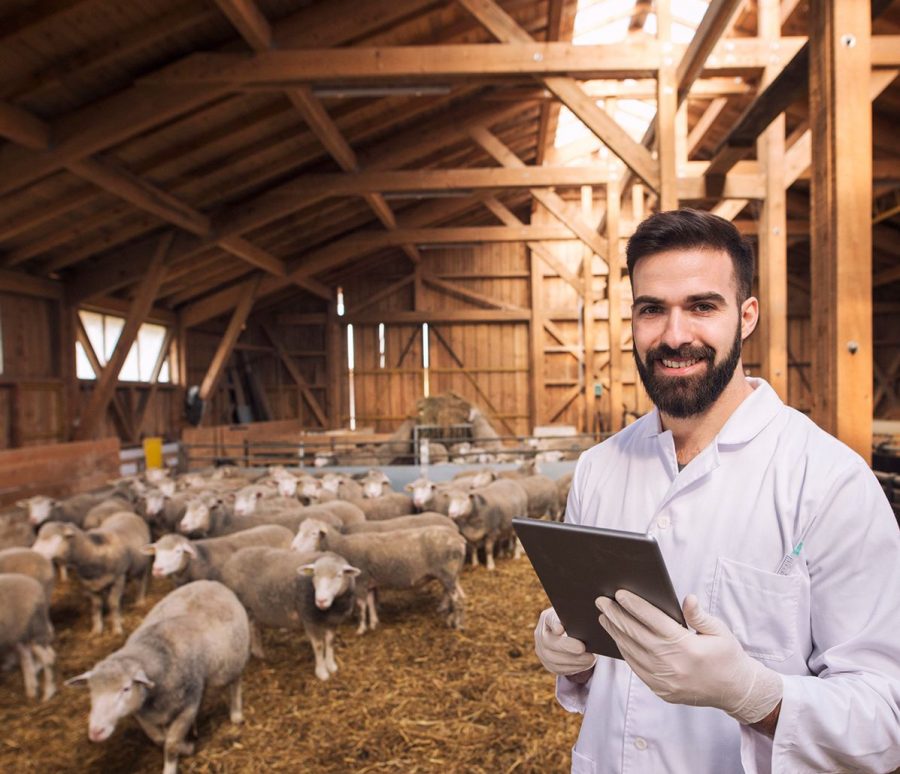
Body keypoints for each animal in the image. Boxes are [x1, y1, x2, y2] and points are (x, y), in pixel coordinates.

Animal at [0, 576, 55, 704]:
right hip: (21, 634)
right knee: (27, 657)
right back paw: (31, 690)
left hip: (33, 630)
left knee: (48, 657)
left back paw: (48, 692)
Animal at [66, 584, 250, 774]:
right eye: (91, 690)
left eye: (126, 688)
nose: (95, 732)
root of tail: (211, 583)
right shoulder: (143, 713)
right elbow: (160, 739)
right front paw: (185, 746)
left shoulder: (187, 708)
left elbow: (171, 743)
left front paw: (179, 756)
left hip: (232, 662)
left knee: (235, 683)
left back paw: (236, 714)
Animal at [220, 544, 356, 680]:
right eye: (315, 575)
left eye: (339, 575)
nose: (321, 600)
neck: (330, 608)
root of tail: (233, 558)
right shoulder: (309, 618)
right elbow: (318, 646)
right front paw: (322, 672)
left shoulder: (334, 621)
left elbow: (330, 642)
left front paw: (331, 665)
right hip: (244, 605)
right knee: (251, 628)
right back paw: (257, 652)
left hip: (254, 608)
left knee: (254, 626)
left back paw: (258, 651)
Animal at [294, 520, 468, 636]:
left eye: (313, 534)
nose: (294, 548)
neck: (342, 546)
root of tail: (458, 538)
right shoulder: (370, 582)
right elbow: (371, 603)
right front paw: (374, 623)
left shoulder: (361, 581)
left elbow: (361, 606)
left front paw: (361, 629)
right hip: (449, 574)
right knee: (450, 595)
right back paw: (447, 614)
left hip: (447, 572)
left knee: (456, 599)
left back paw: (456, 623)